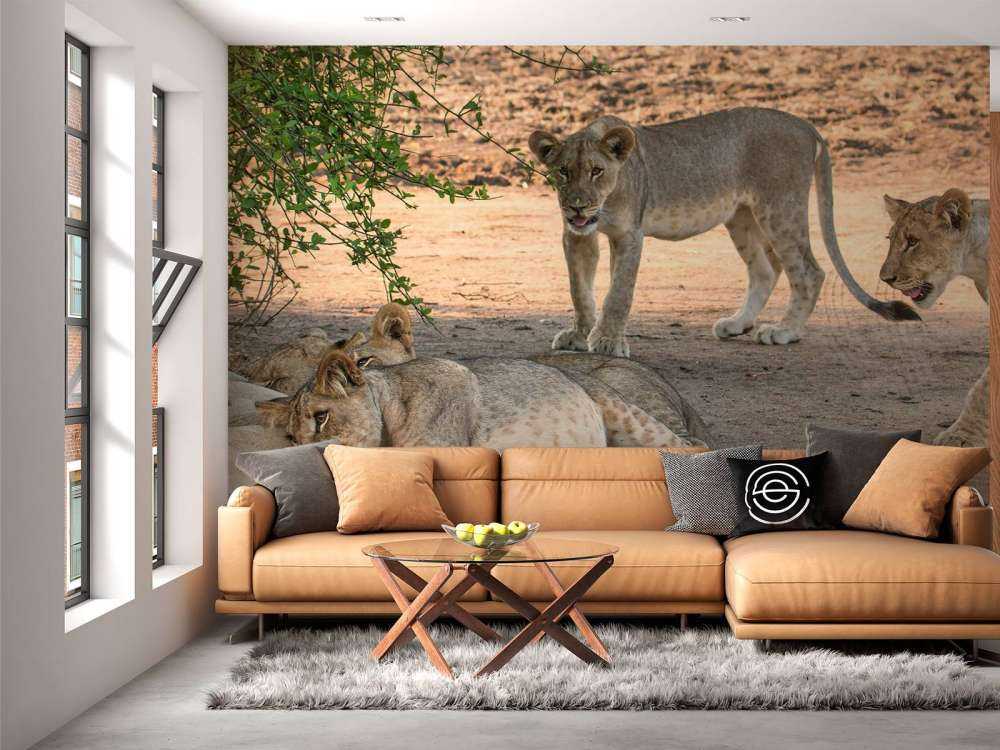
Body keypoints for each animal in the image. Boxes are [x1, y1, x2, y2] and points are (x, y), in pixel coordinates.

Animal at [528, 107, 918, 357]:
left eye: (596, 170)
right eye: (563, 171)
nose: (577, 206)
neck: (605, 202)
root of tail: (805, 125)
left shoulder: (630, 235)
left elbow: (618, 293)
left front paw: (608, 341)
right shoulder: (577, 236)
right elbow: (580, 289)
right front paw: (579, 336)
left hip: (780, 208)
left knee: (809, 271)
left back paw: (784, 331)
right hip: (742, 216)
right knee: (765, 270)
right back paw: (738, 324)